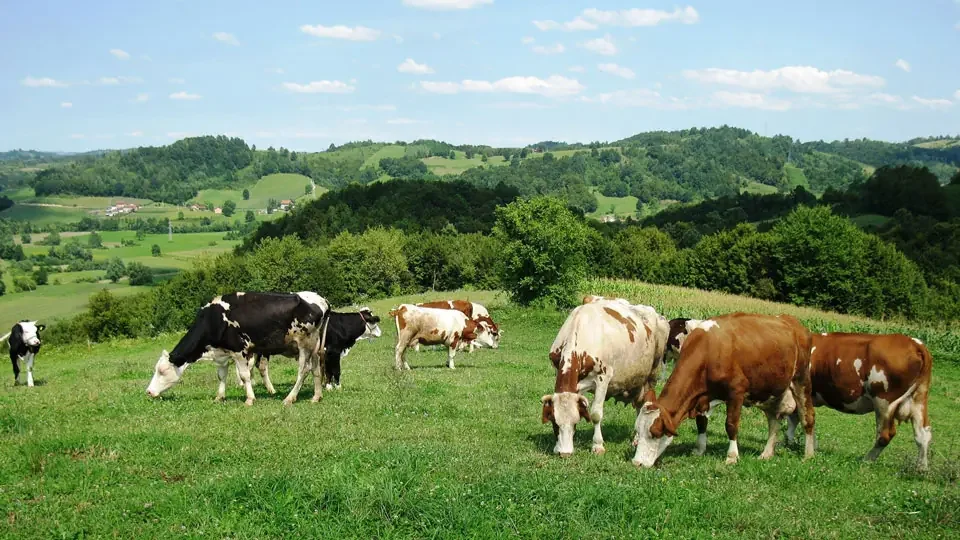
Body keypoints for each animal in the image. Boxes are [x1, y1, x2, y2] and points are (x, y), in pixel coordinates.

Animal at [146, 292, 330, 404]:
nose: (148, 391)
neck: (214, 319)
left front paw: (249, 399)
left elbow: (245, 375)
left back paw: (290, 398)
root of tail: (322, 300)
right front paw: (219, 397)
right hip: (315, 347)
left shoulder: (240, 350)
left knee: (304, 370)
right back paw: (316, 396)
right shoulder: (221, 353)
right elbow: (221, 375)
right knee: (316, 370)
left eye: (162, 371)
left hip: (304, 344)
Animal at [249, 308, 380, 392]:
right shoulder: (334, 352)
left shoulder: (326, 353)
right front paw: (337, 387)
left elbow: (328, 371)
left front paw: (328, 387)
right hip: (265, 351)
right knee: (262, 367)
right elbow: (336, 370)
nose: (380, 333)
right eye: (373, 322)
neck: (340, 325)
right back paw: (272, 390)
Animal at [540, 298, 668, 458]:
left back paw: (637, 440)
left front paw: (597, 445)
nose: (565, 453)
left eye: (575, 421)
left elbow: (595, 414)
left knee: (645, 403)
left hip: (651, 375)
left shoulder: (603, 377)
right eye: (554, 422)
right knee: (639, 405)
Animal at [788, 332, 936, 470]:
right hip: (919, 398)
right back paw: (921, 469)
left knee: (885, 434)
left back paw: (866, 460)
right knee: (923, 434)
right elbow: (795, 419)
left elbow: (799, 418)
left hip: (883, 400)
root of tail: (915, 343)